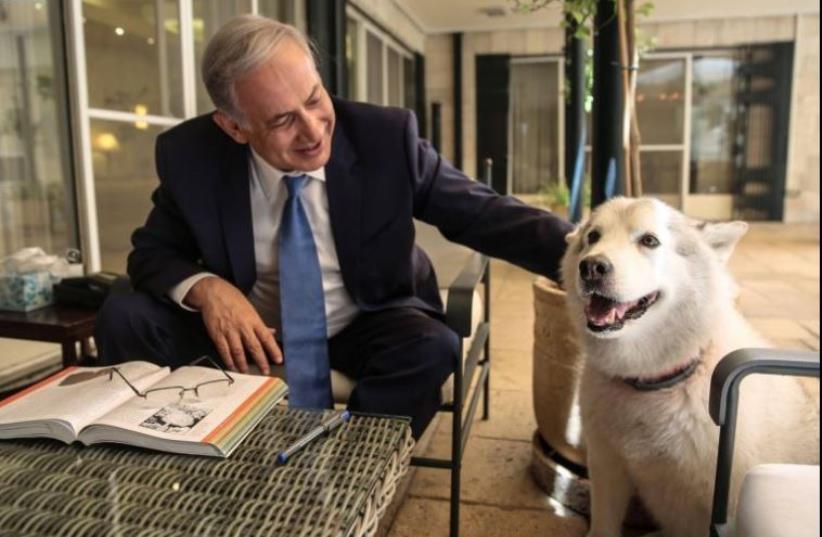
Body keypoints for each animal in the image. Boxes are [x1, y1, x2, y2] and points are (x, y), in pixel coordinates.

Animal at [564, 198, 820, 536]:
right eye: (593, 236)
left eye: (649, 240)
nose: (591, 266)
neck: (653, 382)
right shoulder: (607, 467)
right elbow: (603, 526)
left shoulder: (723, 500)